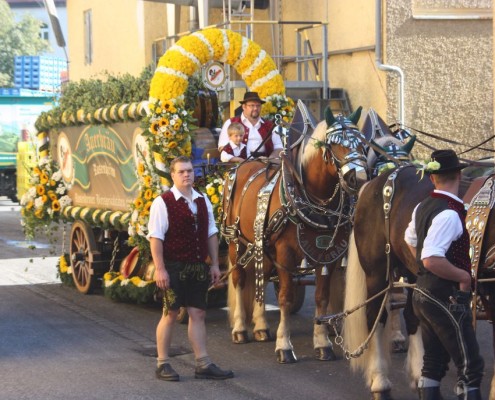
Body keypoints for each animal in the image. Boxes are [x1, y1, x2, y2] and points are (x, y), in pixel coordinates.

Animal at [223, 100, 370, 362]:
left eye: (362, 143)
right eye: (335, 144)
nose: (360, 178)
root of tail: (242, 165)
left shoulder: (327, 254)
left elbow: (322, 296)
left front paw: (322, 343)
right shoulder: (286, 254)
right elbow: (285, 297)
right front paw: (284, 346)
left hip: (261, 244)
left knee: (261, 276)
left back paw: (261, 327)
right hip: (236, 241)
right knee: (239, 279)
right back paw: (240, 329)